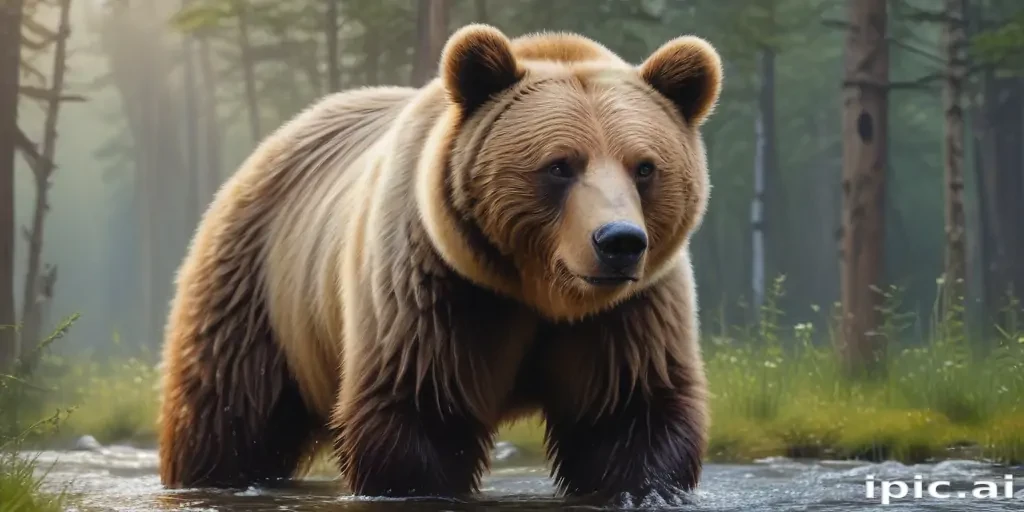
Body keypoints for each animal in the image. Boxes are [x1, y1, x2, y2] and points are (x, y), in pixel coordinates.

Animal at [157, 23, 722, 503]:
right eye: (560, 165)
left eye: (644, 167)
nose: (619, 241)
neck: (538, 292)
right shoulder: (435, 291)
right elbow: (421, 410)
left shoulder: (628, 313)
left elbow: (629, 412)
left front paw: (640, 488)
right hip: (259, 296)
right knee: (228, 416)